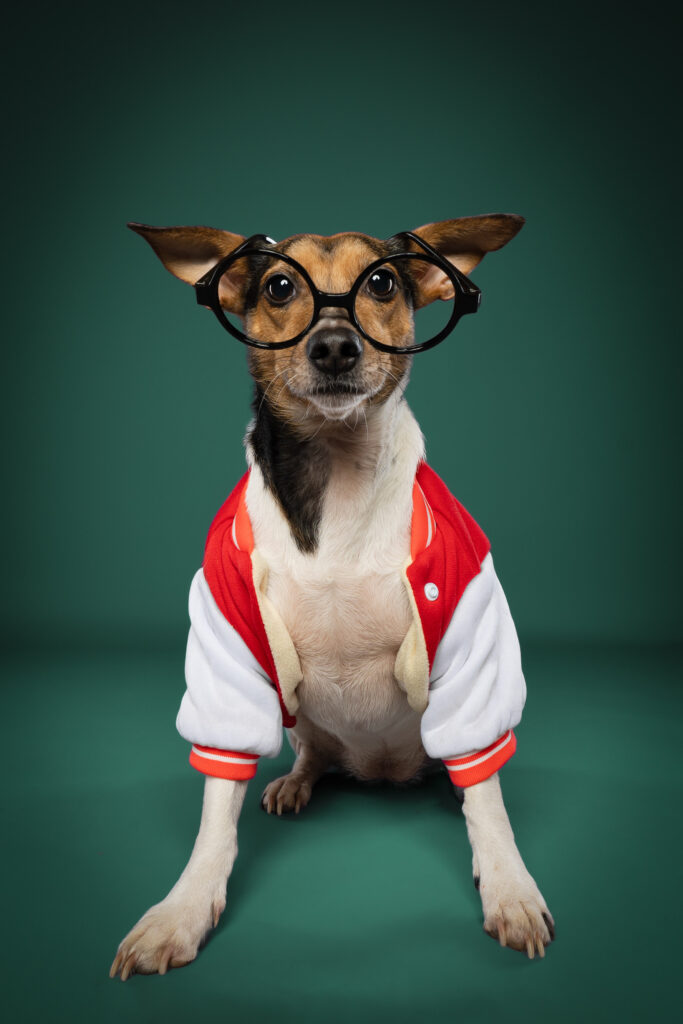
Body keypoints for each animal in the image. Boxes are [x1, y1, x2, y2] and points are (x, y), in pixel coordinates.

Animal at [108, 211, 557, 978]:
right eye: (279, 286)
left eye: (381, 282)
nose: (335, 347)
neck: (339, 466)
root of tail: (381, 770)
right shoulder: (227, 652)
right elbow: (215, 813)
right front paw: (181, 911)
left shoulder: (470, 634)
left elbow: (488, 801)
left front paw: (509, 888)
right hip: (297, 719)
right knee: (312, 752)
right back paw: (295, 781)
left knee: (457, 768)